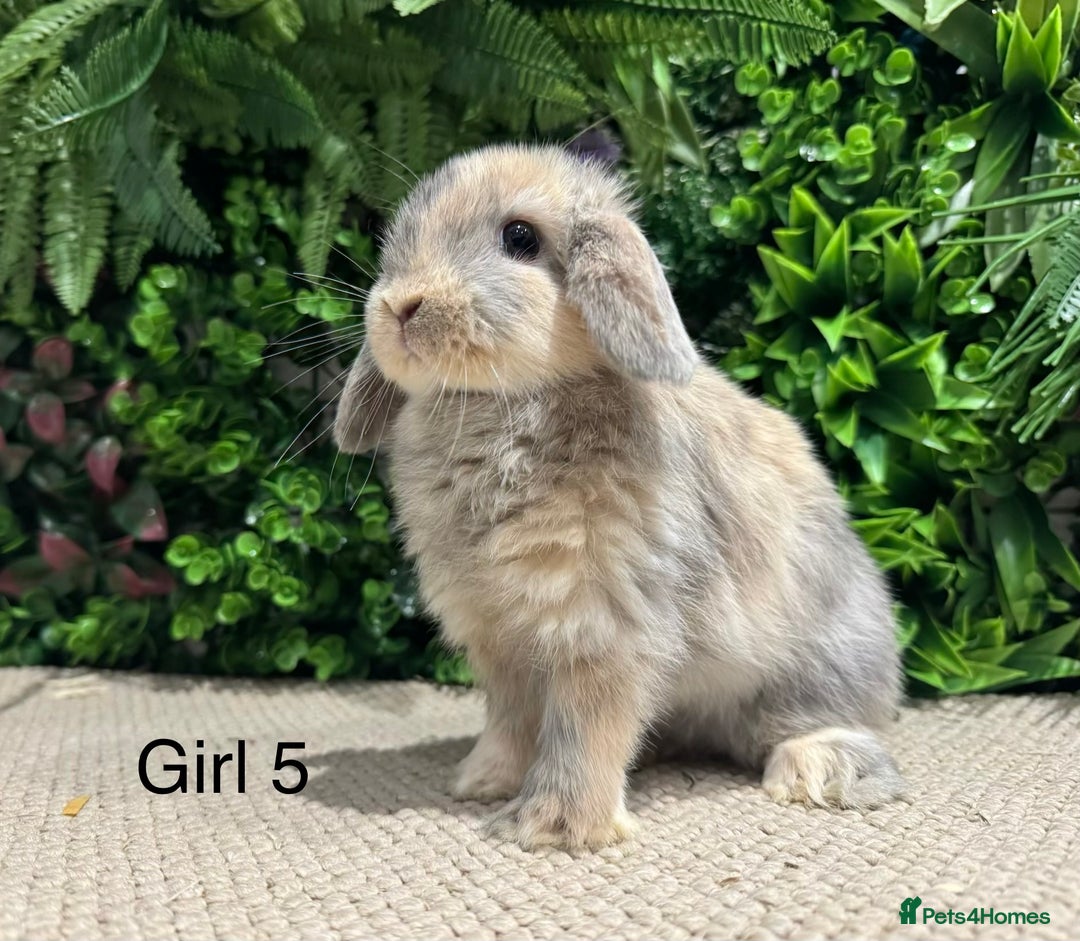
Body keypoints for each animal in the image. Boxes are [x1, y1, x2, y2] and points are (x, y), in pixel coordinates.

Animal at [333, 143, 905, 851]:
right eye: (399, 240)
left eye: (519, 238)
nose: (401, 306)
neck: (501, 405)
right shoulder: (499, 639)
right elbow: (511, 719)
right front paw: (483, 781)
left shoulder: (603, 622)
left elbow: (586, 725)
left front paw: (554, 827)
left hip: (817, 664)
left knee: (816, 720)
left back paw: (818, 768)